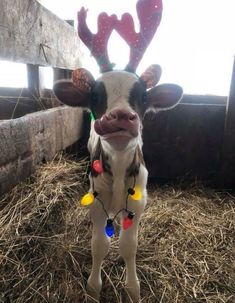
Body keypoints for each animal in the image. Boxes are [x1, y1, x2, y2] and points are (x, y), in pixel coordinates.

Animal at [53, 1, 184, 302]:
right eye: (95, 96)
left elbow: (128, 245)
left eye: (143, 96)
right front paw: (93, 287)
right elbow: (99, 243)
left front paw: (133, 288)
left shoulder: (138, 202)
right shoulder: (96, 199)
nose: (121, 116)